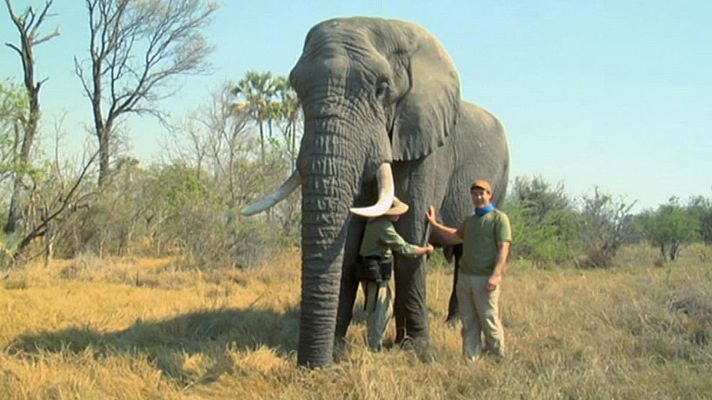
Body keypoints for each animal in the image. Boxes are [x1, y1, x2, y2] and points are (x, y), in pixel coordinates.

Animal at [242, 17, 509, 368]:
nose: (310, 366)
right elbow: (349, 243)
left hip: (501, 179)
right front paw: (337, 348)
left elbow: (410, 234)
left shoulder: (427, 143)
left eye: (381, 90)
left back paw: (450, 325)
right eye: (297, 89)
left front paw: (419, 351)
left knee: (465, 255)